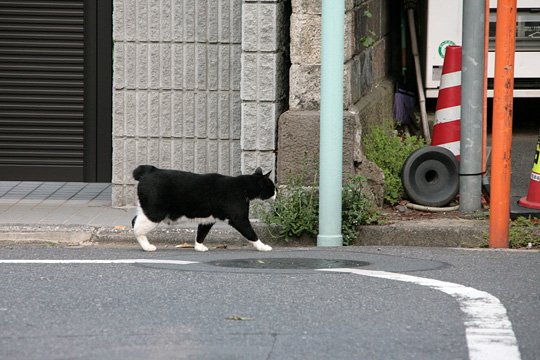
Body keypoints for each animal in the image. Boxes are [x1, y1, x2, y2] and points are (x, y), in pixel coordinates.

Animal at [131, 165, 274, 252]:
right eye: (272, 187)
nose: (276, 192)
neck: (243, 186)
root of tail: (150, 170)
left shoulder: (208, 219)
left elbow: (201, 233)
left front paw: (199, 247)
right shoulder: (239, 219)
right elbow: (251, 234)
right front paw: (263, 246)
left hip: (147, 211)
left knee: (134, 220)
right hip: (154, 214)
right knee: (137, 228)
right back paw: (147, 246)